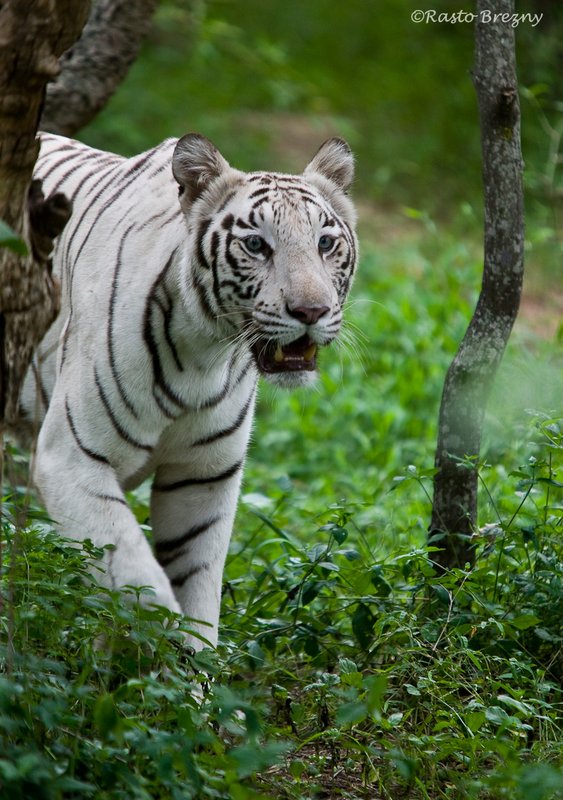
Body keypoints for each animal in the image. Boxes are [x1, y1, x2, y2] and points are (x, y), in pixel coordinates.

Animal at [20, 131, 358, 649]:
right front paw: (149, 651)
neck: (204, 353)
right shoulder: (69, 461)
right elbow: (141, 582)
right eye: (256, 245)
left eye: (325, 242)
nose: (311, 311)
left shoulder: (203, 475)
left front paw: (188, 667)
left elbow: (197, 594)